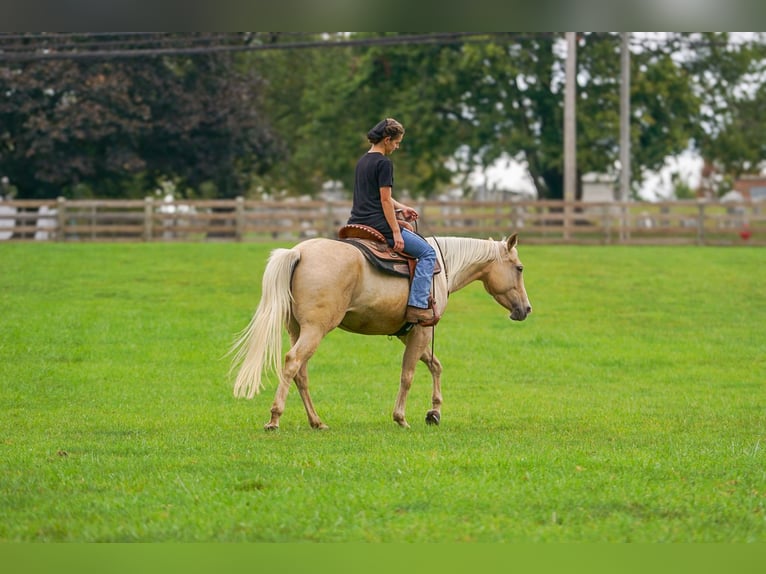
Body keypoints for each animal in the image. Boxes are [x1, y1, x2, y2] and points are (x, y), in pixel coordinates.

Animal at [230, 233, 532, 430]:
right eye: (519, 268)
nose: (526, 309)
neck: (442, 267)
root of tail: (299, 252)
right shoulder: (422, 332)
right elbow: (408, 375)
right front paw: (401, 418)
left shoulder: (409, 333)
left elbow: (435, 366)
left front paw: (434, 412)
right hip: (315, 330)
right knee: (293, 363)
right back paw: (274, 418)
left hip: (297, 329)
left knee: (300, 373)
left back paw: (316, 421)